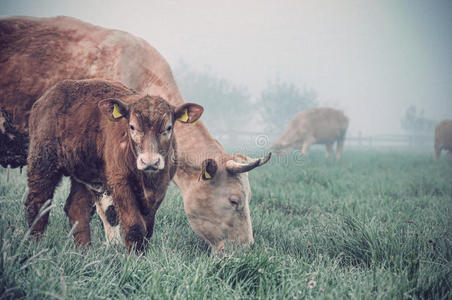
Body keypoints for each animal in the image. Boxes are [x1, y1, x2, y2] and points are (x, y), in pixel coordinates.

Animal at [24, 79, 201, 251]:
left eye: (168, 128)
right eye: (132, 127)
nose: (149, 161)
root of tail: (45, 98)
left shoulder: (160, 188)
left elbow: (148, 229)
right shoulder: (120, 184)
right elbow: (134, 226)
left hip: (85, 173)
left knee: (76, 208)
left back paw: (84, 250)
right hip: (42, 161)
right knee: (37, 203)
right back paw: (34, 245)